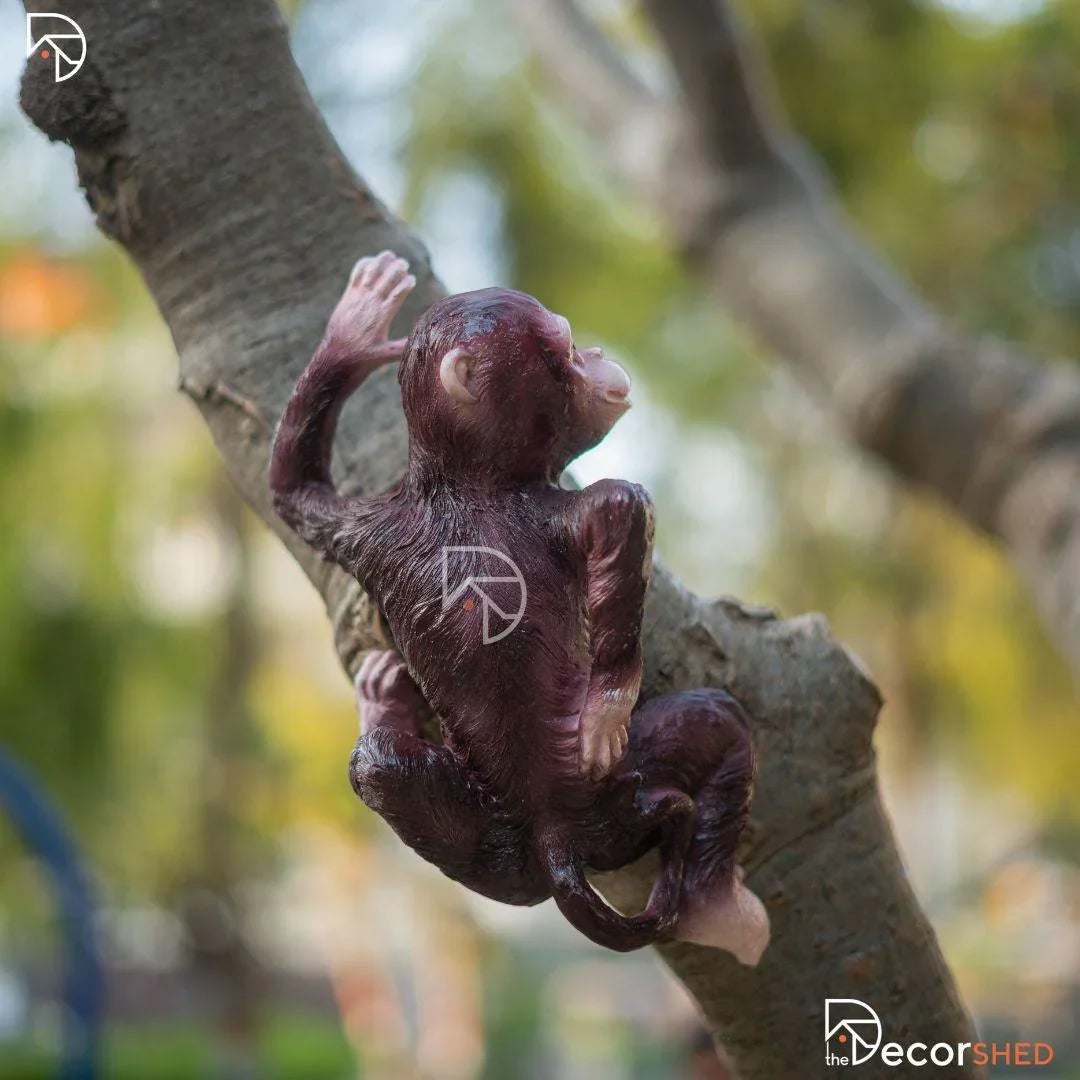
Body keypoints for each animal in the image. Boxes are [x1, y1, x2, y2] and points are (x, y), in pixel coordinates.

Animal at [270, 251, 769, 960]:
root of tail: (556, 839)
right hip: (621, 797)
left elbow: (292, 490)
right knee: (721, 728)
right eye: (565, 345)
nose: (595, 353)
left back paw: (380, 709)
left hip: (497, 844)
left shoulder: (367, 529)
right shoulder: (564, 508)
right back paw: (722, 913)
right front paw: (606, 711)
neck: (463, 483)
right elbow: (624, 514)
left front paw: (354, 330)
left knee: (380, 771)